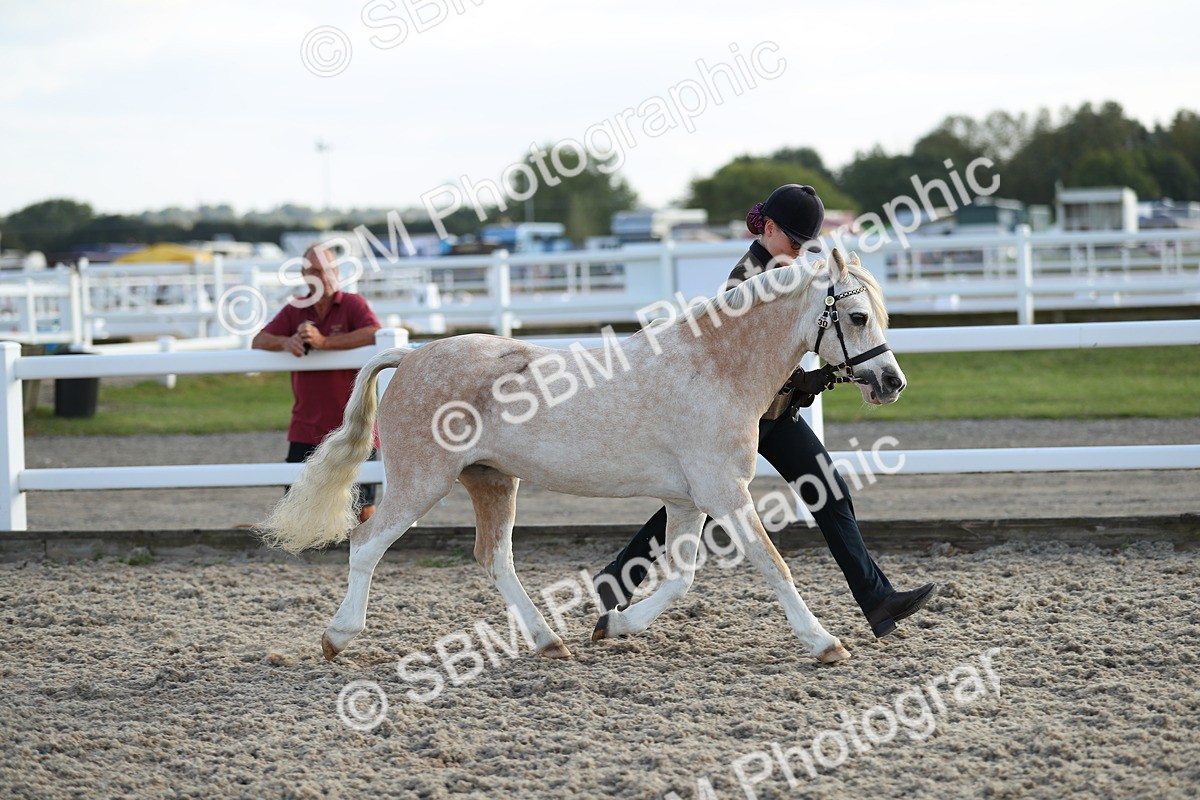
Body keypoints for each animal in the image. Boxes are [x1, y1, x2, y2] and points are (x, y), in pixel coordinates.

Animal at [258, 249, 904, 665]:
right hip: (422, 482)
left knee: (493, 558)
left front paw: (613, 623)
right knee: (367, 543)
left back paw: (550, 642)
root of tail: (411, 356)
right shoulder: (725, 493)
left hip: (492, 481)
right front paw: (825, 643)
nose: (891, 382)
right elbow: (773, 566)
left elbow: (682, 579)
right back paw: (338, 637)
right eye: (856, 316)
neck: (715, 367)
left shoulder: (687, 500)